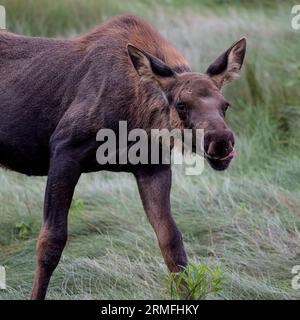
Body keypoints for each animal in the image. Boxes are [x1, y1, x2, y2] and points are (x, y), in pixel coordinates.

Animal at [0, 13, 246, 298]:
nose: (222, 142)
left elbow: (172, 242)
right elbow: (50, 242)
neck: (137, 117)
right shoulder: (64, 150)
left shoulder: (153, 167)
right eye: (181, 105)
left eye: (225, 105)